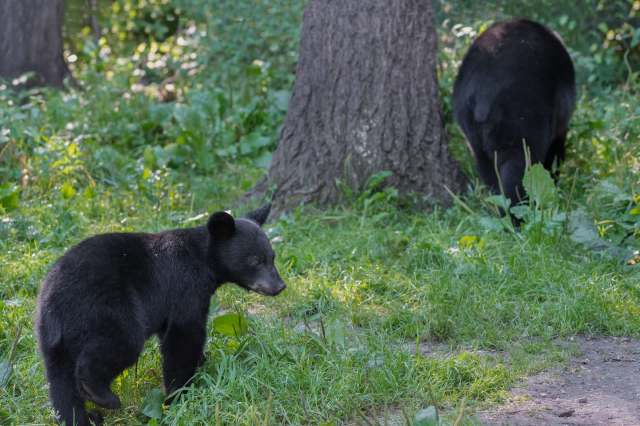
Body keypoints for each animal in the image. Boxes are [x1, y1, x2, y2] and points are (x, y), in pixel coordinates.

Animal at [35, 204, 285, 426]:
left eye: (273, 257)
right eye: (255, 260)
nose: (279, 286)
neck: (204, 261)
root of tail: (55, 299)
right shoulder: (185, 287)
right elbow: (184, 337)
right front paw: (178, 394)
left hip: (53, 337)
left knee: (60, 382)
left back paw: (79, 418)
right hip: (107, 308)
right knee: (120, 344)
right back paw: (102, 396)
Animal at [452, 18, 576, 206]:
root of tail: (483, 90)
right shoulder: (559, 128)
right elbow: (554, 156)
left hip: (472, 129)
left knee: (489, 171)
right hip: (519, 122)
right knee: (519, 170)